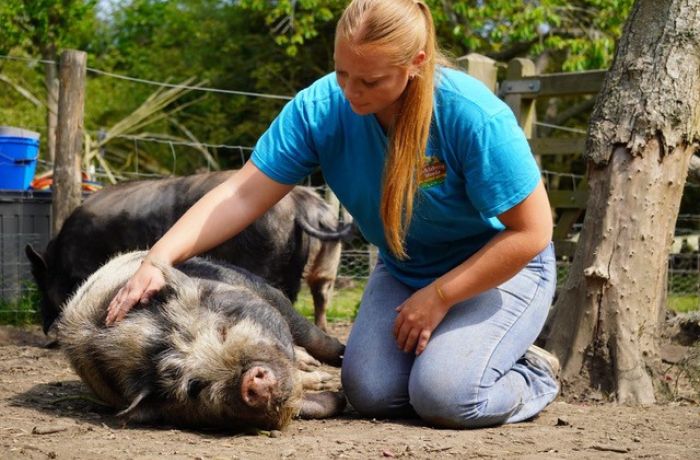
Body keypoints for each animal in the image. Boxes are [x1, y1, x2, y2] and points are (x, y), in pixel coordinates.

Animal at [26, 171, 352, 336]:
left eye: (42, 285)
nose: (46, 332)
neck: (61, 260)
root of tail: (300, 203)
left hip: (264, 257)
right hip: (325, 262)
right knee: (320, 292)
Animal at [58, 251, 346, 431]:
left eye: (222, 331)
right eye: (194, 386)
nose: (250, 383)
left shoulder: (262, 292)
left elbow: (311, 336)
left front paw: (341, 362)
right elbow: (297, 405)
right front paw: (338, 397)